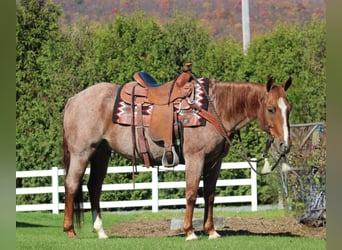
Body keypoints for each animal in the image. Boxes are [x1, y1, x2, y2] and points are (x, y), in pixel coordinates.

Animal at [62, 73, 292, 240]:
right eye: (271, 109)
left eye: (288, 109)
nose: (285, 145)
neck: (213, 109)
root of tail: (73, 100)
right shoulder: (195, 158)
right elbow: (191, 193)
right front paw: (190, 232)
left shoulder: (214, 162)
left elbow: (210, 195)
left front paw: (211, 231)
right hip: (82, 152)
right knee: (72, 184)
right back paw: (70, 231)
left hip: (101, 154)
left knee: (94, 188)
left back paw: (100, 231)